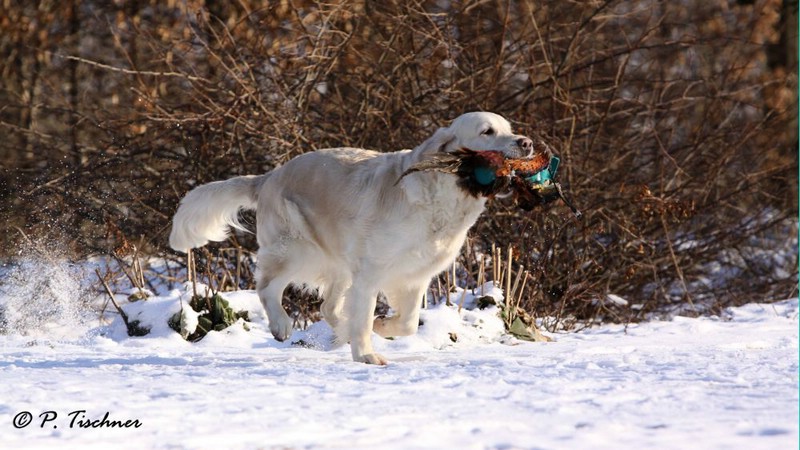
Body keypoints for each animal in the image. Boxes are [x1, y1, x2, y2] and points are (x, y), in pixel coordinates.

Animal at [169, 112, 538, 364]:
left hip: (340, 263)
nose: (527, 142)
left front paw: (381, 328)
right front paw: (366, 354)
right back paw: (282, 325)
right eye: (487, 132)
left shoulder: (413, 276)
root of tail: (269, 176)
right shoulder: (371, 270)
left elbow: (406, 323)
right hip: (299, 248)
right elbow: (364, 317)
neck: (443, 193)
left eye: (508, 129)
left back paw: (340, 329)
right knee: (268, 287)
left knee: (327, 306)